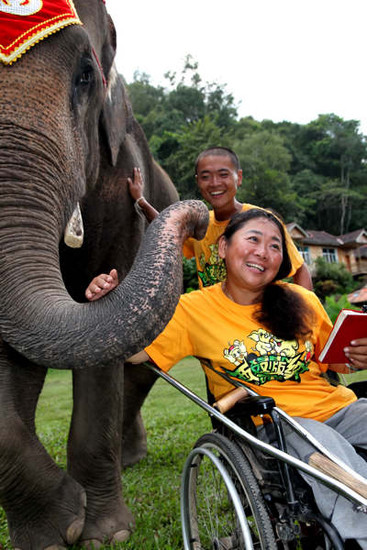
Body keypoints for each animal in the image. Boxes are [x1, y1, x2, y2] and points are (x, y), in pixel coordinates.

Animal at [0, 2, 208, 548]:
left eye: (86, 76)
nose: (199, 217)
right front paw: (56, 532)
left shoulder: (117, 178)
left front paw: (102, 535)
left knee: (138, 368)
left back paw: (130, 461)